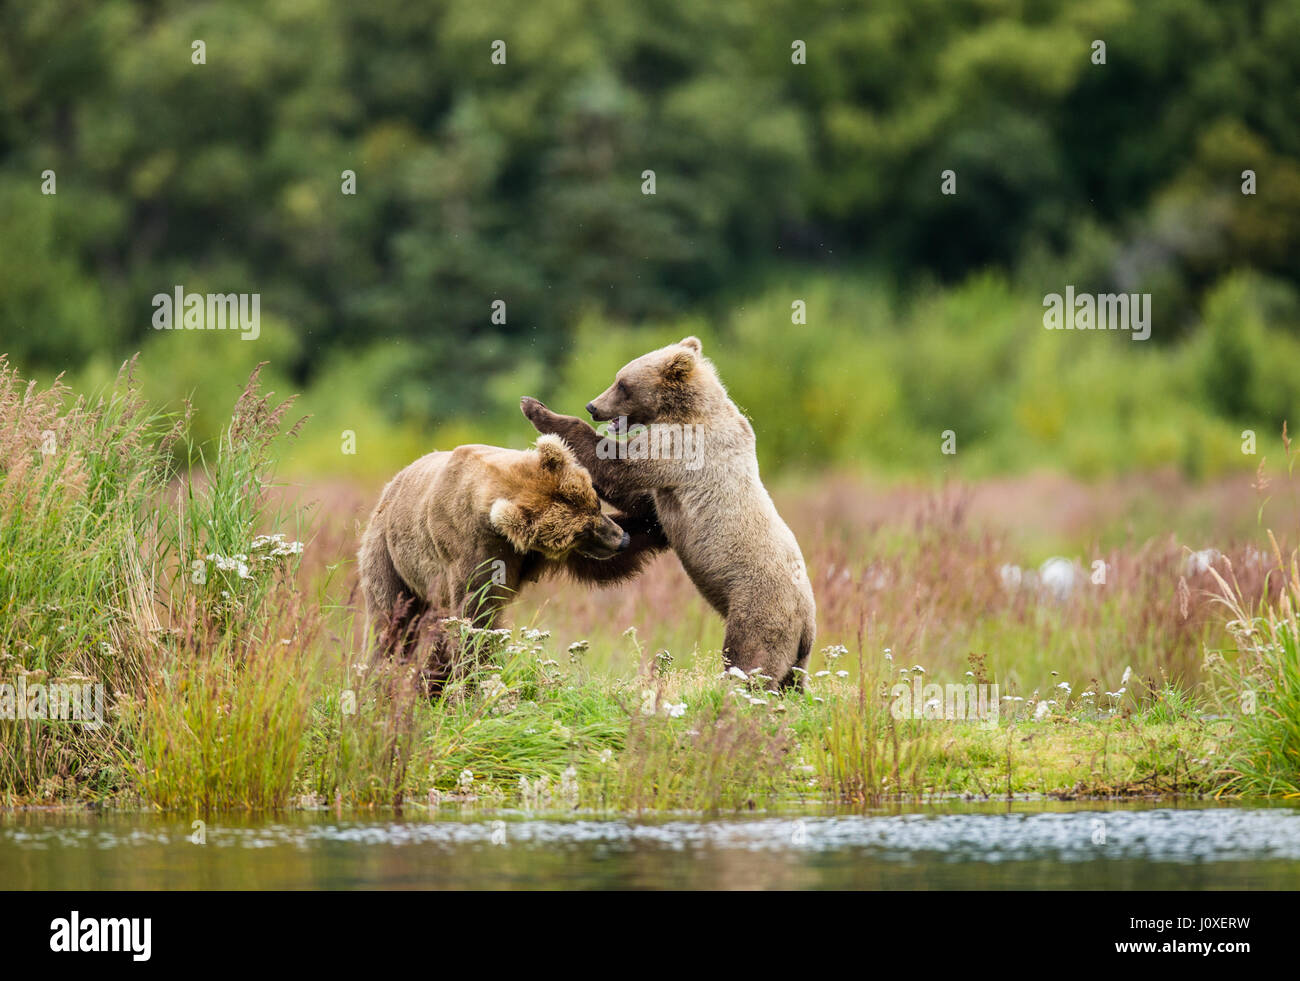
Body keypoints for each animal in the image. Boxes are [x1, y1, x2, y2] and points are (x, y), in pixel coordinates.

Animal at [358, 434, 667, 688]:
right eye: (581, 532)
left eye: (596, 504)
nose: (620, 540)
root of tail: (389, 488)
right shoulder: (474, 548)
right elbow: (475, 615)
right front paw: (474, 679)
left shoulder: (531, 552)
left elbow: (600, 565)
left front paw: (655, 524)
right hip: (388, 556)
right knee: (390, 623)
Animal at [520, 336, 816, 688]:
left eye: (622, 384)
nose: (593, 406)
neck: (683, 410)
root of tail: (808, 625)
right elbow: (643, 502)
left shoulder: (681, 448)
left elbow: (617, 467)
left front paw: (537, 409)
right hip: (795, 657)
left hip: (759, 611)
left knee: (748, 662)